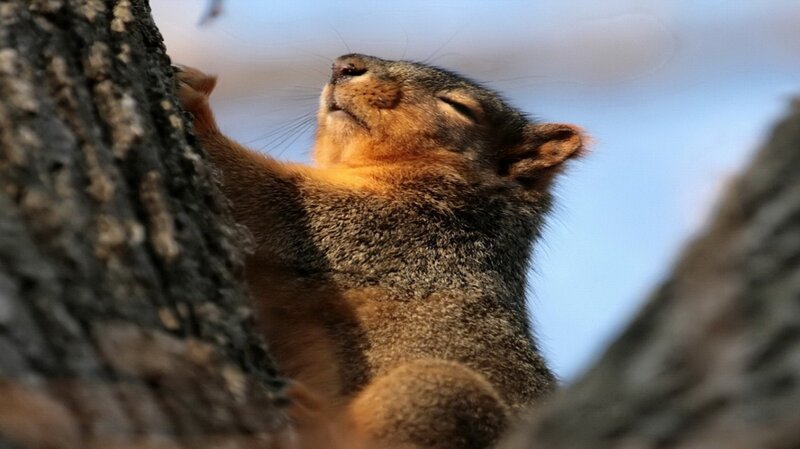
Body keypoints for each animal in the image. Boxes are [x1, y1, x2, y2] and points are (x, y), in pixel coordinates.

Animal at [177, 53, 584, 449]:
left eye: (459, 107)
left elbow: (266, 194)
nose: (344, 65)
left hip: (434, 393)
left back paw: (311, 419)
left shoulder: (395, 230)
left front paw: (195, 104)